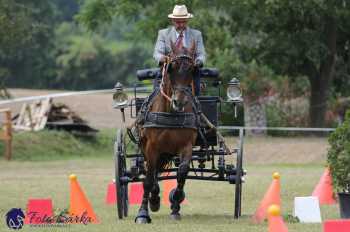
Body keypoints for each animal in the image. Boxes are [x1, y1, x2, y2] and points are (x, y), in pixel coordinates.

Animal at [135, 41, 198, 223]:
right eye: (171, 67)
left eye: (192, 70)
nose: (179, 102)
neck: (171, 112)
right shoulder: (152, 148)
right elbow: (148, 179)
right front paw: (143, 213)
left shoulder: (186, 145)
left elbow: (182, 172)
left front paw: (176, 203)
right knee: (151, 172)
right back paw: (154, 199)